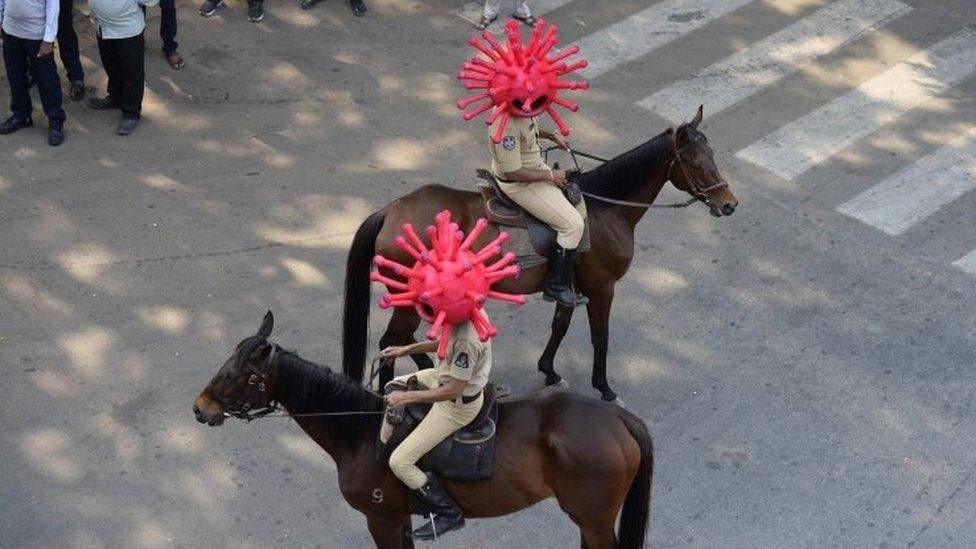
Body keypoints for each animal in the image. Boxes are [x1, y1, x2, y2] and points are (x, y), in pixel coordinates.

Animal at [193, 312, 652, 548]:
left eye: (232, 375)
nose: (199, 408)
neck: (360, 434)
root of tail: (618, 419)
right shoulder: (397, 519)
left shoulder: (380, 519)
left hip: (593, 520)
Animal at [346, 105, 736, 400]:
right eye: (695, 163)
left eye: (713, 155)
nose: (729, 204)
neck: (607, 208)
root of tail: (392, 211)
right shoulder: (602, 288)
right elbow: (600, 336)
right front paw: (604, 387)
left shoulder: (572, 287)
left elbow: (560, 325)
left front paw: (549, 371)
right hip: (410, 302)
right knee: (390, 342)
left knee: (404, 342)